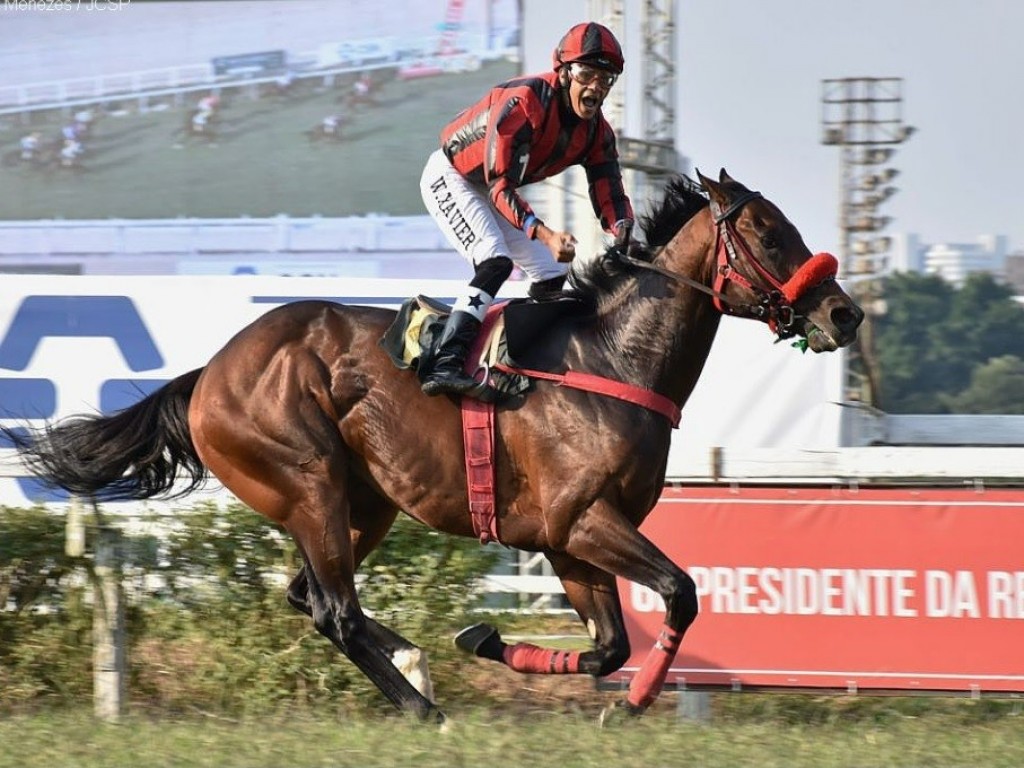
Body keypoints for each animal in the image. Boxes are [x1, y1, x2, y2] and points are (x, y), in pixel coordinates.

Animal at [6, 169, 864, 729]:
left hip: (365, 502)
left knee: (311, 597)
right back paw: (425, 710)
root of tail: (209, 373)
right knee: (336, 609)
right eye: (767, 233)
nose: (843, 313)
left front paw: (485, 639)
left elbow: (609, 644)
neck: (609, 359)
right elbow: (680, 595)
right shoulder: (585, 522)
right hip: (308, 481)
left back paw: (417, 661)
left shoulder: (568, 540)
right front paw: (637, 702)